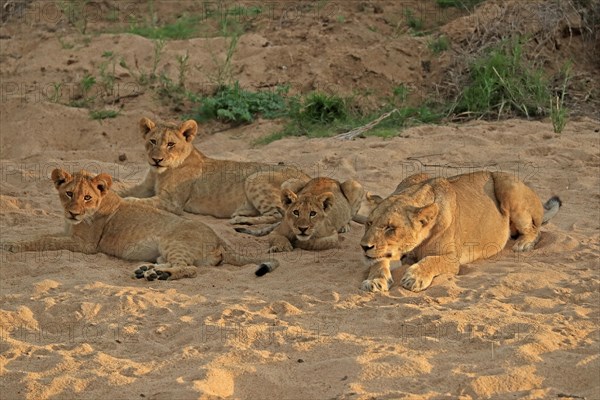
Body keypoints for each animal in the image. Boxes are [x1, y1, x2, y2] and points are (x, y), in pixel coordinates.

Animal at [4, 169, 278, 282]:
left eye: (87, 197)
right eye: (69, 193)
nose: (73, 212)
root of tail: (220, 238)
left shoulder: (86, 246)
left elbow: (45, 240)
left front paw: (11, 245)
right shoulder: (67, 233)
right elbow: (44, 234)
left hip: (174, 242)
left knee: (189, 269)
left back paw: (159, 275)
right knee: (174, 264)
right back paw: (148, 270)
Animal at [360, 170, 564, 292]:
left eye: (390, 228)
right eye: (369, 223)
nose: (364, 246)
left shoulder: (452, 259)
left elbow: (431, 260)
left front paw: (414, 277)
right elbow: (378, 262)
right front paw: (375, 281)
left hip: (507, 185)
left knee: (536, 229)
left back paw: (523, 243)